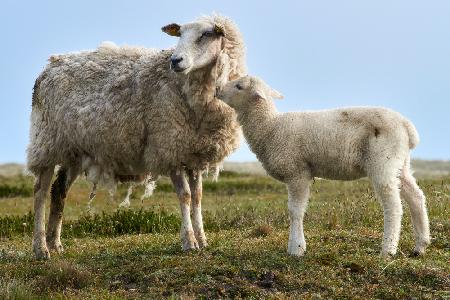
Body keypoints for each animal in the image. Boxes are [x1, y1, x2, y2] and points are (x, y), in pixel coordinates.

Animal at [27, 14, 246, 258]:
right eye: (179, 35)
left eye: (206, 34)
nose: (175, 61)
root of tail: (49, 67)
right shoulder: (167, 148)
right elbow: (185, 196)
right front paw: (189, 241)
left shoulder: (193, 154)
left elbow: (197, 198)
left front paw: (202, 239)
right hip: (46, 142)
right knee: (40, 192)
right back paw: (40, 248)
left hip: (73, 150)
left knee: (59, 191)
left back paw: (55, 244)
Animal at [220, 76, 430, 256]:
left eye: (239, 86)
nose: (217, 90)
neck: (270, 126)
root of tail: (407, 126)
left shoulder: (298, 173)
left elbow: (295, 211)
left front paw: (296, 248)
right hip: (399, 163)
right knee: (416, 196)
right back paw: (420, 245)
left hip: (383, 162)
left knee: (393, 206)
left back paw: (388, 250)